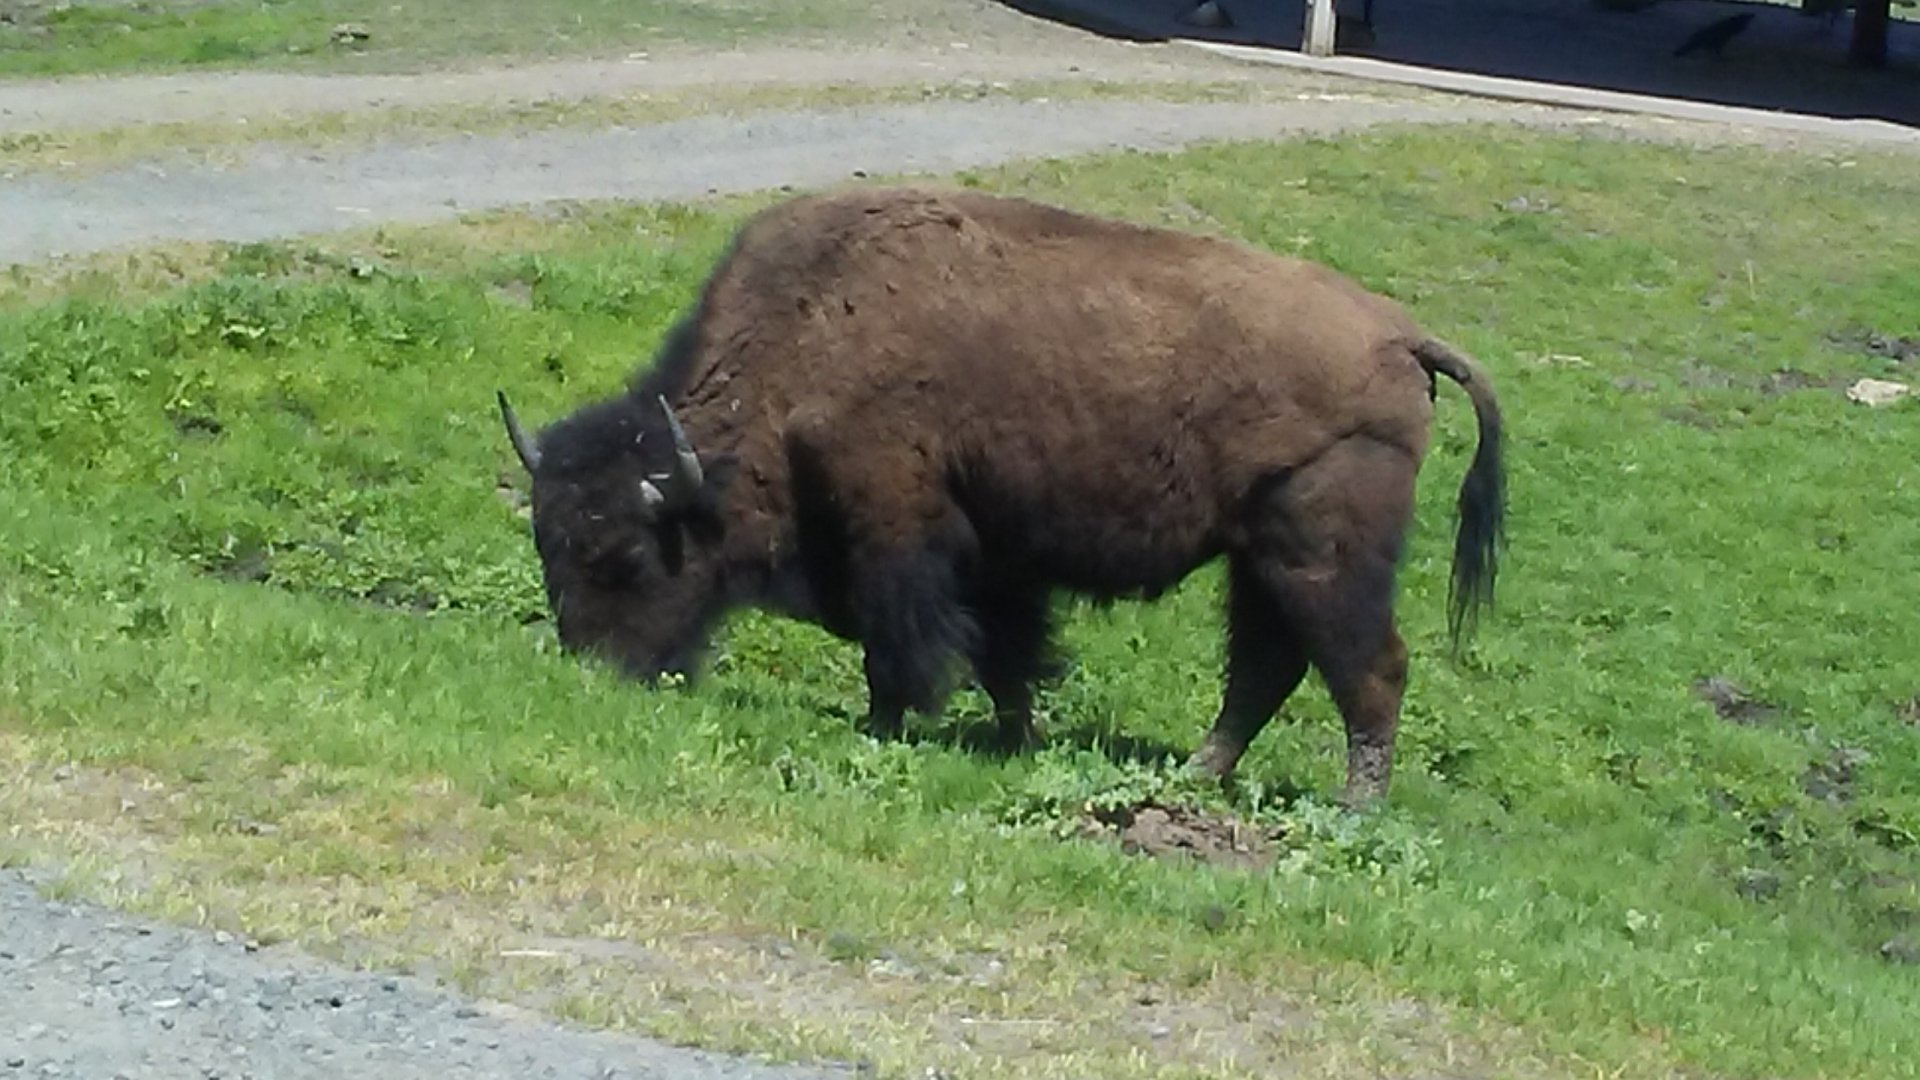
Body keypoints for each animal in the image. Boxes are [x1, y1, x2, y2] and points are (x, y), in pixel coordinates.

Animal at [497, 185, 1505, 806]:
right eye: (548, 544)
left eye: (628, 554)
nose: (594, 670)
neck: (814, 332)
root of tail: (1403, 338)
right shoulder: (998, 557)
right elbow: (1007, 651)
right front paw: (1014, 736)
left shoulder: (896, 524)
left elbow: (901, 638)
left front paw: (889, 722)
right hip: (1257, 563)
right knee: (1265, 670)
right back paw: (1196, 774)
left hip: (1319, 558)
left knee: (1370, 668)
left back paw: (1355, 805)